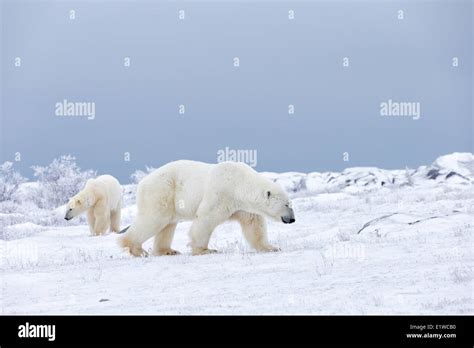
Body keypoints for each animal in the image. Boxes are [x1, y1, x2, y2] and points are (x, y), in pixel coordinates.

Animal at [120, 160, 294, 256]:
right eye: (286, 204)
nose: (292, 219)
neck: (239, 184)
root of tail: (142, 182)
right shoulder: (221, 193)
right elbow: (206, 218)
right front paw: (204, 250)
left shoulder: (244, 207)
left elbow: (254, 225)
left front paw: (271, 247)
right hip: (162, 191)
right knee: (154, 219)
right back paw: (136, 249)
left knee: (167, 224)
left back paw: (168, 251)